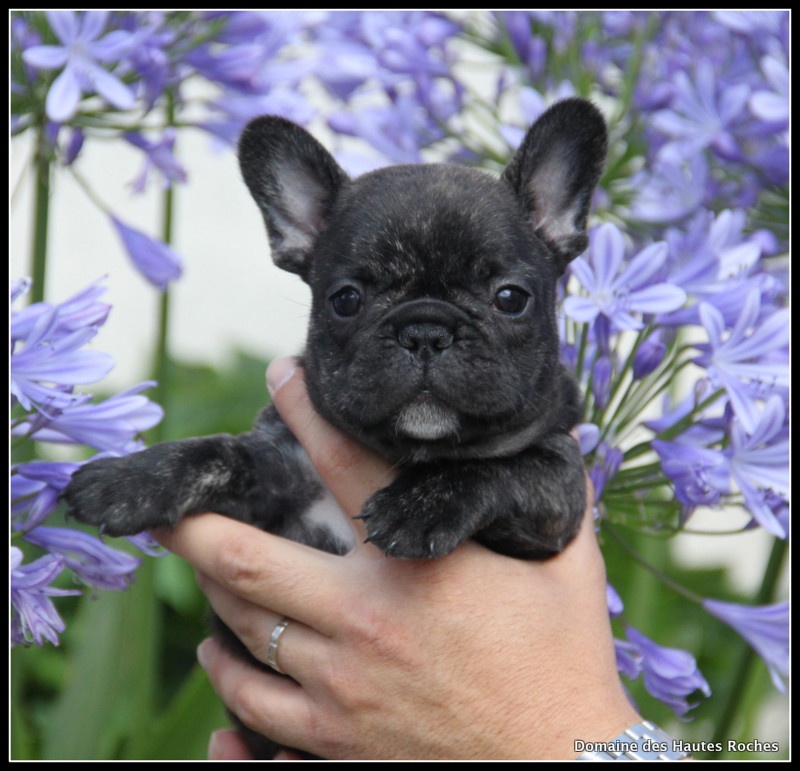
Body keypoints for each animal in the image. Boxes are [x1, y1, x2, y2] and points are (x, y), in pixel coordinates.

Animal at [64, 97, 607, 757]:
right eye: (346, 299)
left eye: (510, 297)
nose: (425, 329)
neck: (406, 452)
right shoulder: (277, 478)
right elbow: (216, 453)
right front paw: (129, 479)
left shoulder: (558, 499)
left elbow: (505, 466)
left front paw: (422, 505)